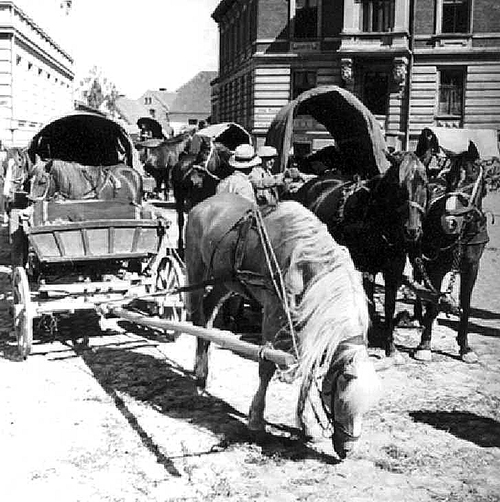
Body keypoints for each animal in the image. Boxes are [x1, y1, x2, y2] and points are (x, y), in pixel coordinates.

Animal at [186, 195, 380, 458]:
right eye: (340, 397)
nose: (348, 450)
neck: (303, 259)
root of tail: (204, 204)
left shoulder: (308, 324)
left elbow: (308, 371)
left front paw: (306, 424)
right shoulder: (273, 314)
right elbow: (266, 368)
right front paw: (256, 422)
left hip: (224, 282)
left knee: (208, 313)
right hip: (196, 272)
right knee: (198, 318)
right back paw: (199, 373)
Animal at [294, 153, 428, 360]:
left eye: (424, 183)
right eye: (399, 186)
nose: (412, 230)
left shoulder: (393, 269)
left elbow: (389, 306)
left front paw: (390, 347)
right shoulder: (367, 268)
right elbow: (369, 304)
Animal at [410, 139, 488, 362]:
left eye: (472, 174)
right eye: (449, 177)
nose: (450, 221)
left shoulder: (472, 268)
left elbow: (466, 305)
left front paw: (465, 347)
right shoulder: (437, 267)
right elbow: (434, 299)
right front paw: (424, 346)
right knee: (418, 280)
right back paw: (419, 316)